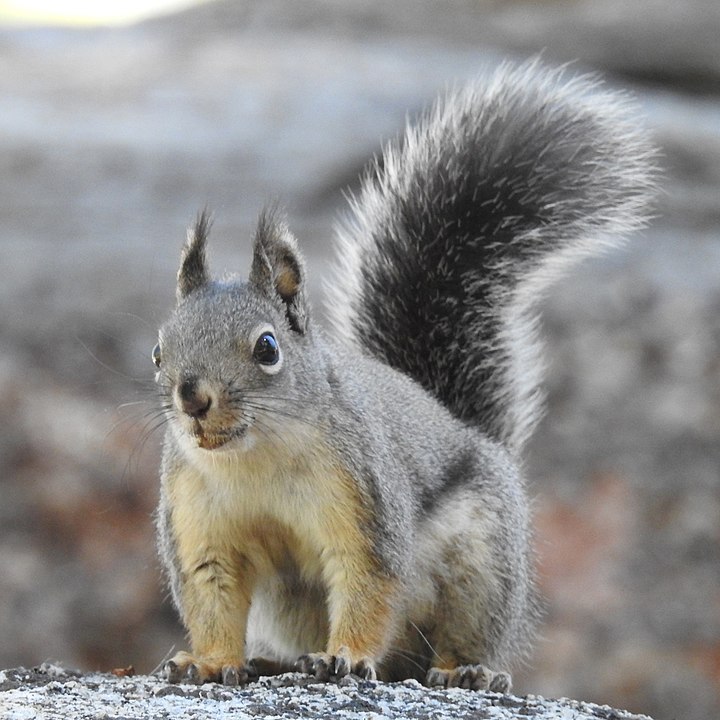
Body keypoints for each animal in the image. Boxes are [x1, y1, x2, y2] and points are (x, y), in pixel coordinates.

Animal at [152, 59, 657, 691]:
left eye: (267, 348)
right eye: (158, 351)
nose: (192, 398)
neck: (255, 462)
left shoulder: (365, 503)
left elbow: (367, 584)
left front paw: (344, 657)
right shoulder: (198, 524)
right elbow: (212, 595)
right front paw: (211, 661)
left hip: (481, 561)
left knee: (448, 643)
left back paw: (467, 673)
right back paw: (277, 659)